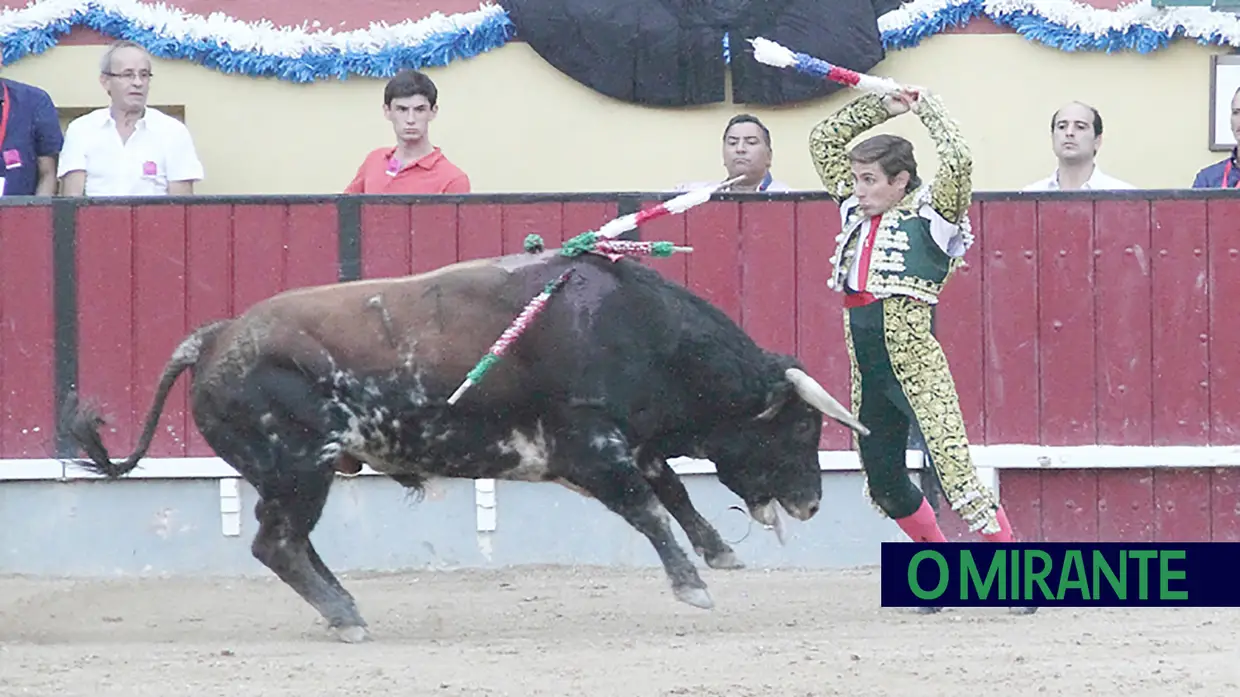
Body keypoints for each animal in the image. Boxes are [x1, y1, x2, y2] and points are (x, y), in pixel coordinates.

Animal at [60, 245, 872, 639]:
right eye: (803, 424)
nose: (812, 502)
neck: (633, 328)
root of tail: (213, 337)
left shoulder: (619, 442)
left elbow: (669, 485)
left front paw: (718, 553)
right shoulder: (588, 447)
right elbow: (647, 502)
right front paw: (693, 585)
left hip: (292, 473)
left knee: (284, 543)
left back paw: (345, 608)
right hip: (298, 466)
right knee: (277, 543)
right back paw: (346, 616)